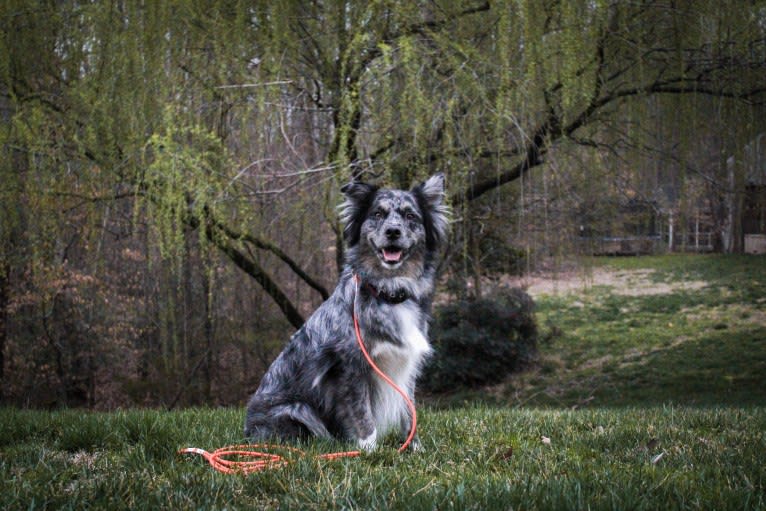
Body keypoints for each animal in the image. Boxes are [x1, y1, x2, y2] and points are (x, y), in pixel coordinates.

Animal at [246, 175, 450, 452]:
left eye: (411, 216)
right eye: (377, 213)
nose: (393, 232)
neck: (387, 291)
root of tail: (248, 430)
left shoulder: (405, 366)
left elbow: (410, 412)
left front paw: (415, 449)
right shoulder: (351, 366)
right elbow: (362, 414)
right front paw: (369, 451)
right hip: (297, 409)